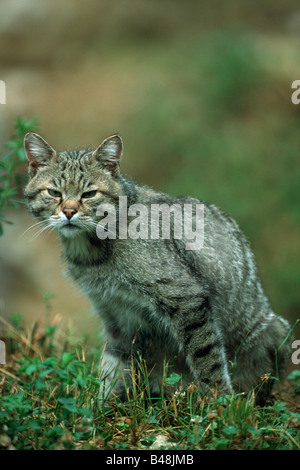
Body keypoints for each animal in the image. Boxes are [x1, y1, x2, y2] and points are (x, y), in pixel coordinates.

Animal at [23, 131, 290, 404]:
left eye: (89, 194)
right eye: (53, 192)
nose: (68, 211)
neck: (93, 254)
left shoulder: (186, 297)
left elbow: (207, 359)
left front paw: (219, 403)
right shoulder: (116, 315)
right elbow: (112, 368)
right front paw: (100, 407)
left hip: (274, 329)